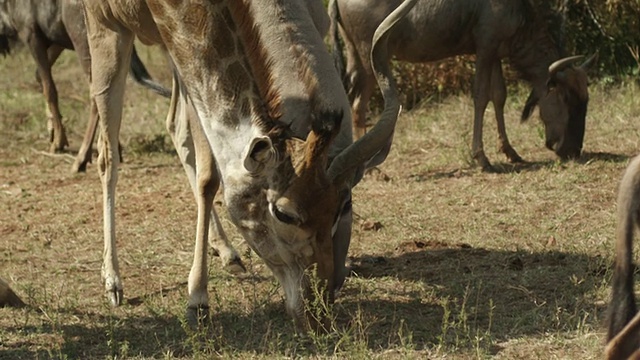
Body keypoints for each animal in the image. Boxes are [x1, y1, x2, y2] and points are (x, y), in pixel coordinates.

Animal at [80, 0, 412, 332]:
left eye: (342, 205)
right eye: (284, 213)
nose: (318, 312)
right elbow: (208, 177)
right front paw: (197, 301)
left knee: (174, 125)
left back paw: (227, 252)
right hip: (110, 31)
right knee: (108, 154)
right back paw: (113, 282)